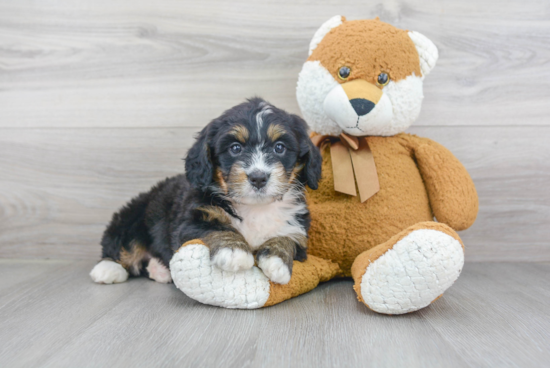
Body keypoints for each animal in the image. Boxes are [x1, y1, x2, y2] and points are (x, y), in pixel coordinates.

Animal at [90, 99, 324, 286]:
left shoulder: (298, 228)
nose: (258, 178)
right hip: (133, 216)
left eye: (280, 148)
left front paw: (278, 261)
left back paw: (159, 270)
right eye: (235, 148)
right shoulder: (190, 222)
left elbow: (288, 238)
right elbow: (218, 228)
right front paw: (235, 252)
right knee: (123, 243)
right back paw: (108, 269)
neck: (255, 208)